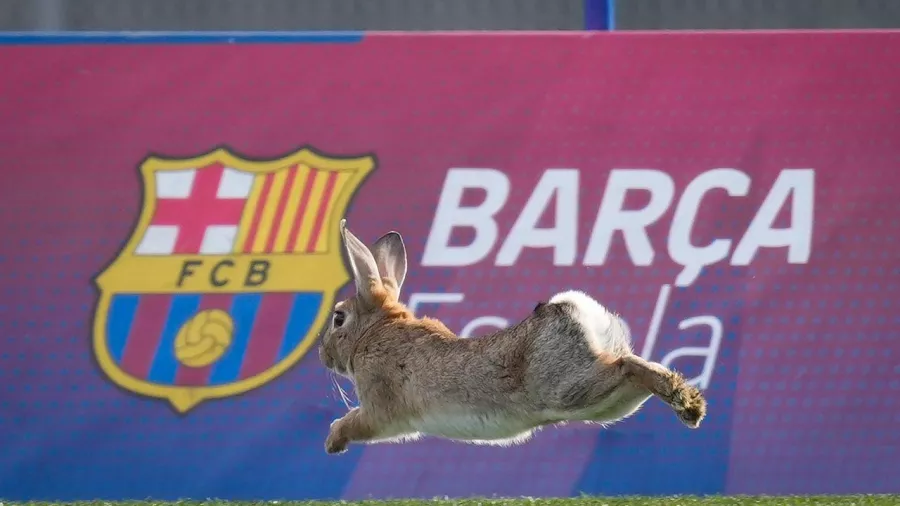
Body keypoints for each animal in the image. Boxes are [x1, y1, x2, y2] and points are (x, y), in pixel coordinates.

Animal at [320, 218, 708, 454]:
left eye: (338, 318)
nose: (324, 356)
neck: (374, 331)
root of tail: (570, 310)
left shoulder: (380, 407)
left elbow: (359, 422)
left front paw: (333, 439)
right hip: (605, 403)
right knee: (632, 371)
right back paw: (687, 402)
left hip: (569, 388)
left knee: (625, 366)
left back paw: (685, 402)